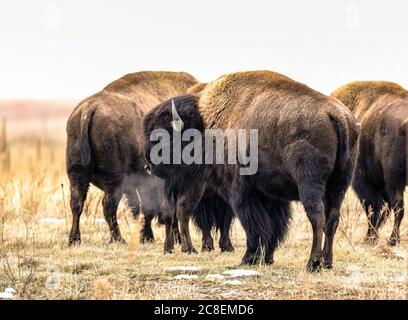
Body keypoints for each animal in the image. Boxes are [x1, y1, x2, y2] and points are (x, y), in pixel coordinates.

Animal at [143, 71, 356, 272]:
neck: (207, 123)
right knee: (332, 219)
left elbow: (254, 224)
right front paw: (267, 258)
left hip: (310, 185)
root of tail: (335, 114)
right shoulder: (271, 195)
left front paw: (249, 258)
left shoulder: (242, 191)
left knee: (317, 217)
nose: (149, 166)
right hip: (340, 185)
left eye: (162, 137)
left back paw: (313, 263)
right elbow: (273, 225)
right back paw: (327, 263)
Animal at [334, 80, 406, 245]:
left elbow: (373, 208)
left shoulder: (363, 181)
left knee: (398, 206)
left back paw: (393, 240)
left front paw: (370, 238)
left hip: (394, 179)